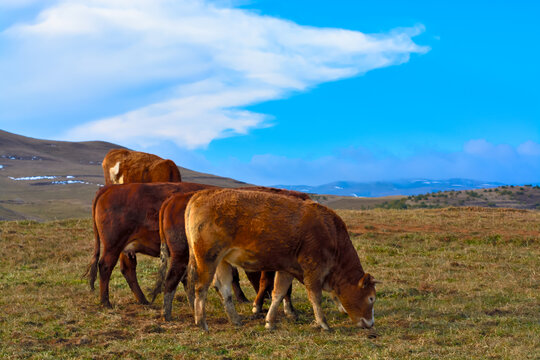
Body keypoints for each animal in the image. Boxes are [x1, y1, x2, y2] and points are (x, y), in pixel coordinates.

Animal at [156, 187, 308, 320]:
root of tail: (172, 200)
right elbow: (269, 282)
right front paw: (259, 307)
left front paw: (288, 310)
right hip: (183, 256)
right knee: (173, 280)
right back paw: (168, 315)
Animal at [186, 188, 380, 332]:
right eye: (371, 298)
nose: (370, 324)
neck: (330, 233)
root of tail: (200, 195)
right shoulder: (313, 270)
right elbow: (315, 297)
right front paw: (323, 323)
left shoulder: (287, 269)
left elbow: (278, 293)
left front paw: (270, 321)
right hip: (207, 258)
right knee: (200, 287)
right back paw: (202, 322)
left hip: (222, 260)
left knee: (224, 289)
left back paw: (235, 320)